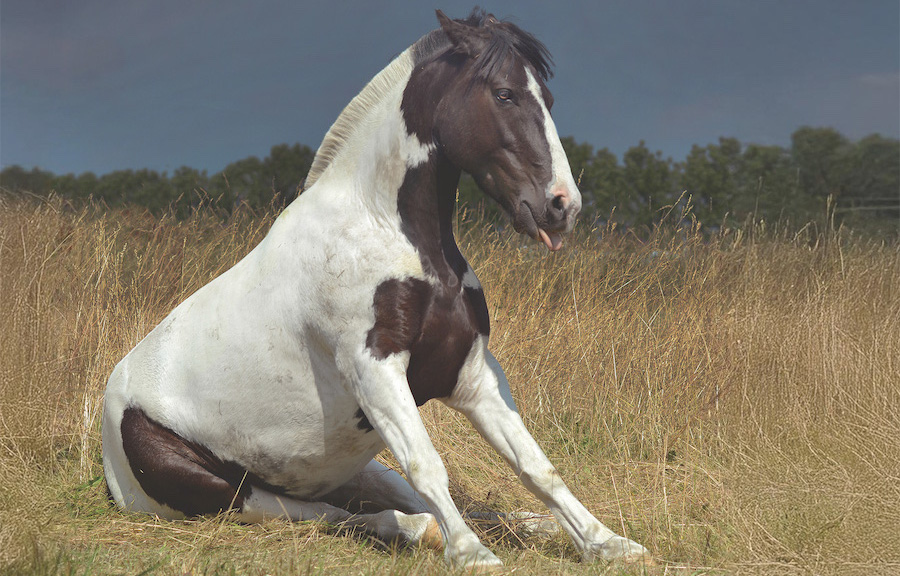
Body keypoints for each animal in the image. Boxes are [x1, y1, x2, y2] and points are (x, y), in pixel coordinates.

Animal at [103, 6, 648, 568]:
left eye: (548, 98)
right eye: (504, 94)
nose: (562, 206)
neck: (384, 228)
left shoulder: (472, 373)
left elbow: (537, 466)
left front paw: (608, 544)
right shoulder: (375, 369)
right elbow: (428, 464)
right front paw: (472, 555)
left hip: (356, 469)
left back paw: (520, 524)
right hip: (231, 494)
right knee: (334, 515)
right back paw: (423, 532)